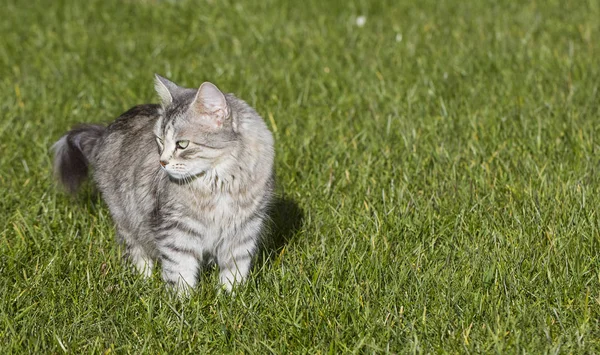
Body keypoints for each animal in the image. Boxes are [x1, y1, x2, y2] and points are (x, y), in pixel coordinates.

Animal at [52, 76, 276, 296]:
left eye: (182, 144)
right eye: (160, 140)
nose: (162, 162)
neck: (220, 183)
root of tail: (104, 132)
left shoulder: (244, 230)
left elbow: (234, 271)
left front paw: (229, 297)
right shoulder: (178, 229)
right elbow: (180, 271)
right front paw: (183, 302)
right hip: (127, 218)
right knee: (137, 252)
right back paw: (144, 282)